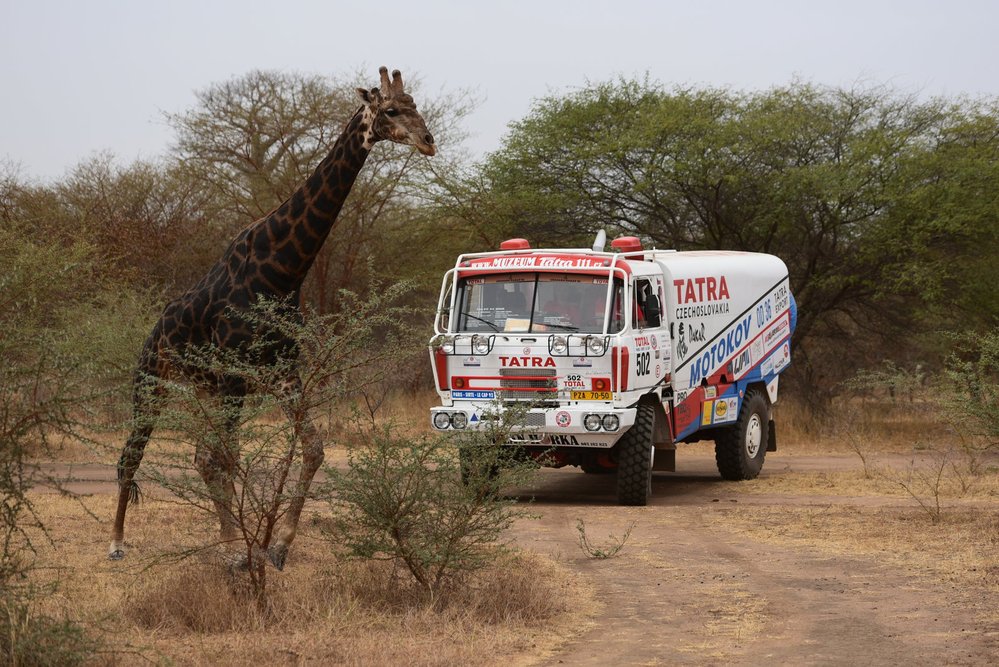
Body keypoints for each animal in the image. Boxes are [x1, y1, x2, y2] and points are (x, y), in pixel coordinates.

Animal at [107, 66, 436, 568]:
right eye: (392, 110)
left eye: (418, 106)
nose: (428, 140)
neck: (283, 270)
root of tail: (152, 334)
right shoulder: (234, 373)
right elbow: (224, 460)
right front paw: (237, 554)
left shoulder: (282, 369)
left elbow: (312, 449)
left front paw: (276, 546)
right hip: (152, 383)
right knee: (134, 454)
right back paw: (117, 542)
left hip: (203, 389)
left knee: (197, 453)